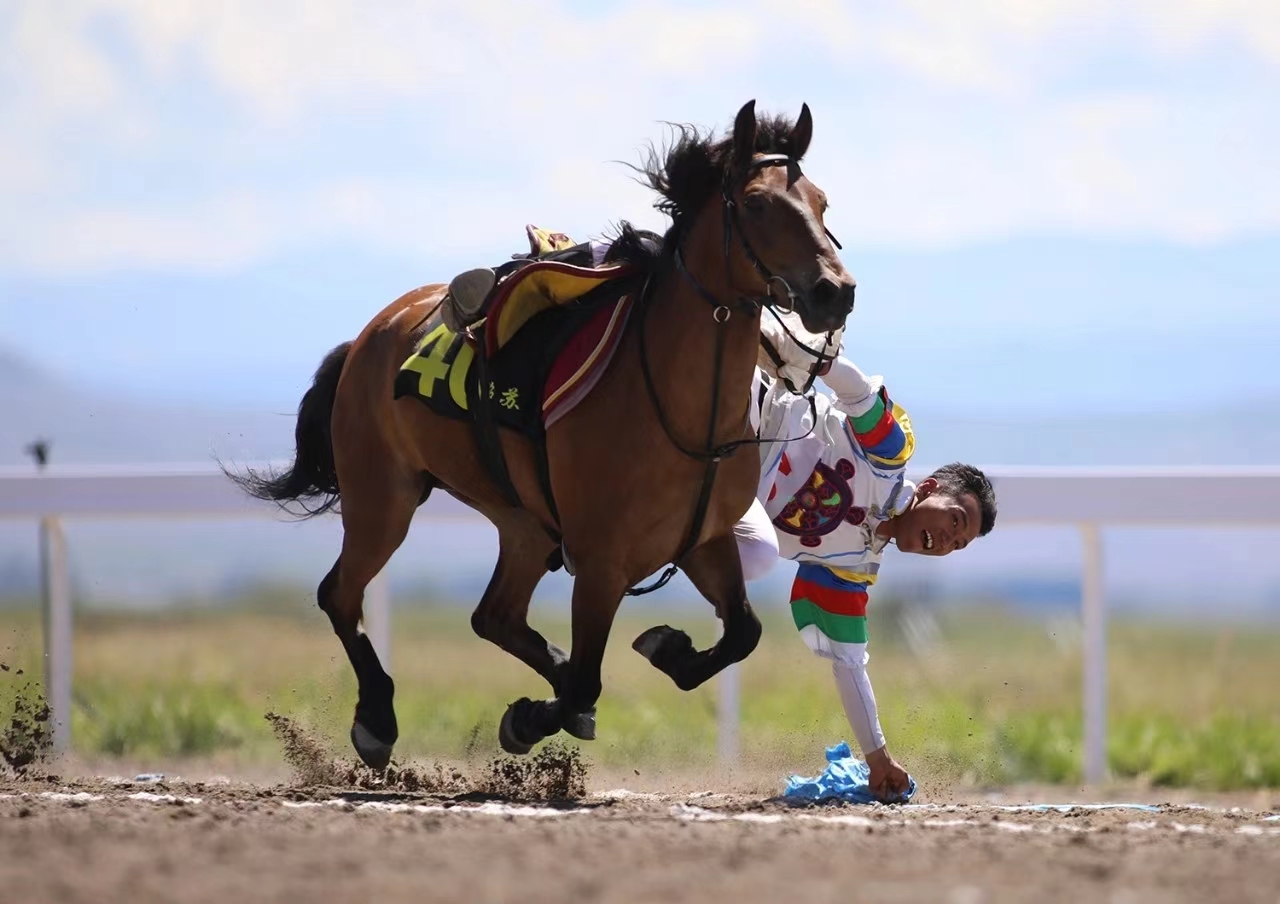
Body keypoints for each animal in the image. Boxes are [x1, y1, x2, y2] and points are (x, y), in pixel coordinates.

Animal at [225, 102, 855, 768]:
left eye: (821, 201)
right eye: (757, 204)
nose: (835, 291)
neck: (681, 406)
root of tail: (373, 331)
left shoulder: (702, 541)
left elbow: (742, 632)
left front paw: (666, 650)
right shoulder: (602, 562)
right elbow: (587, 677)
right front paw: (530, 718)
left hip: (522, 522)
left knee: (494, 616)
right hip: (382, 498)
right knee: (341, 595)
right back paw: (377, 718)